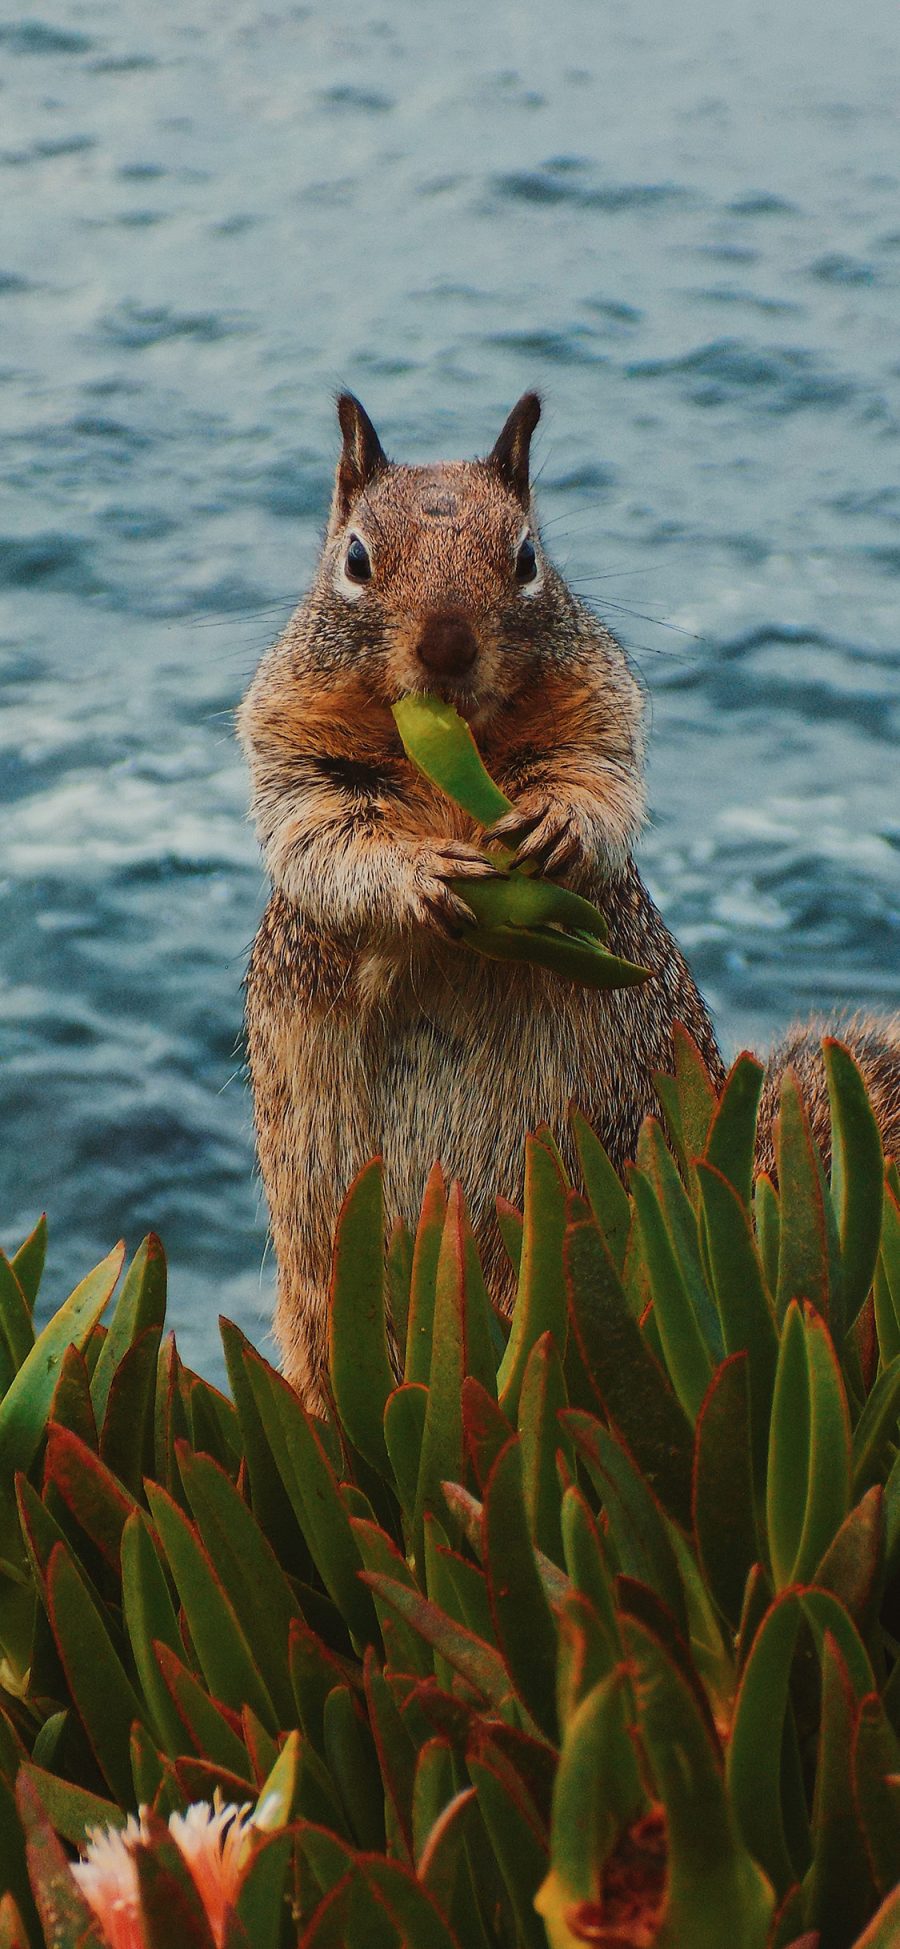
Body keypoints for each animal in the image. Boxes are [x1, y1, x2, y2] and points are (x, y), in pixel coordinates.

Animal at [235, 395, 896, 1411]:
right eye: (355, 559)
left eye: (526, 557)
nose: (448, 643)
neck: (453, 756)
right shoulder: (290, 749)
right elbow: (323, 839)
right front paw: (419, 878)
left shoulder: (603, 710)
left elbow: (601, 783)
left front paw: (556, 828)